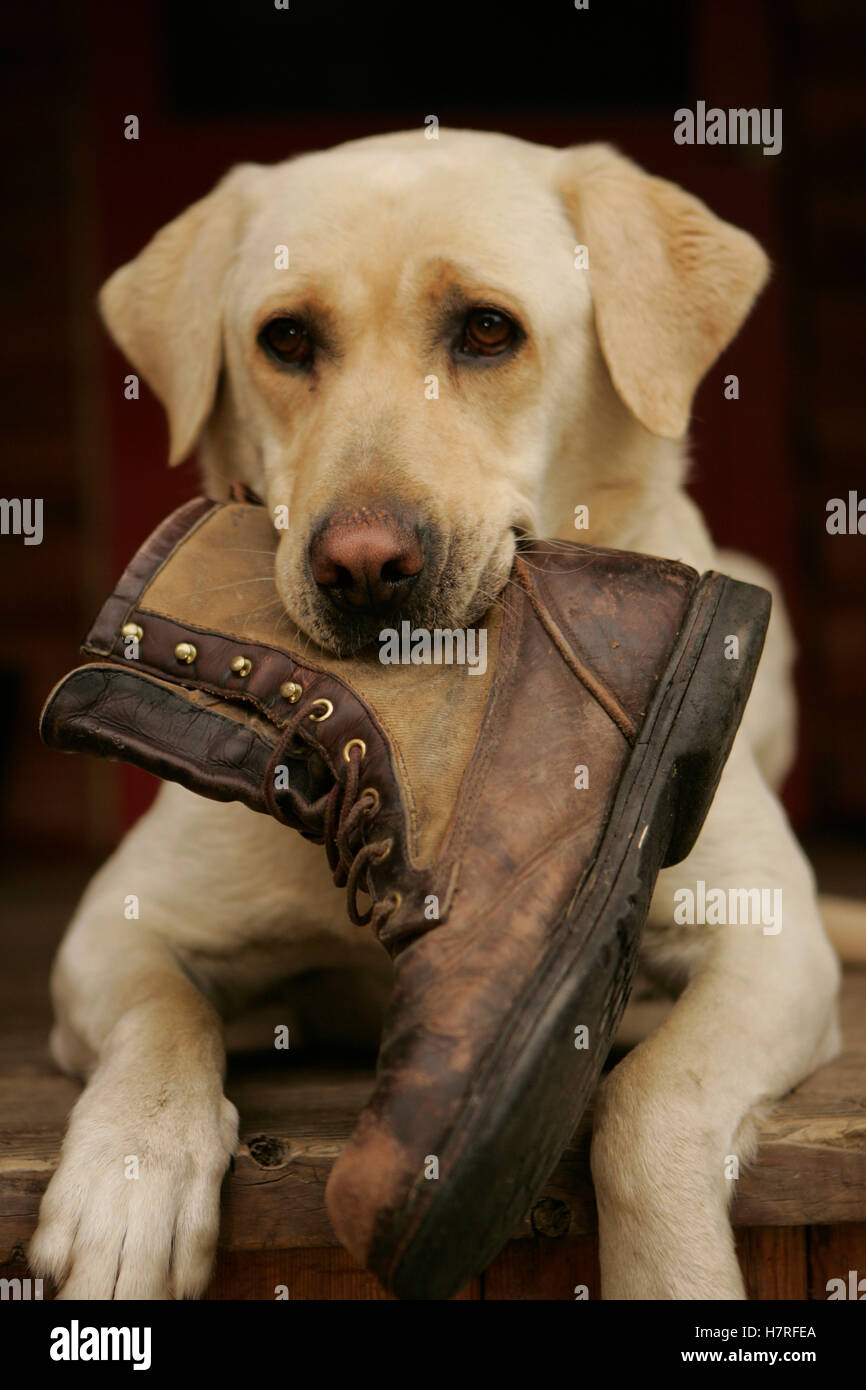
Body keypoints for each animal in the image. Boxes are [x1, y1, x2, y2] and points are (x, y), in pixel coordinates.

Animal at [30, 130, 845, 1301]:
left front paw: (673, 1268)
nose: (363, 567)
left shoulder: (771, 940)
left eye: (487, 330)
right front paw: (129, 1173)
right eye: (285, 339)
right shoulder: (117, 923)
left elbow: (654, 1101)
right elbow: (160, 1015)